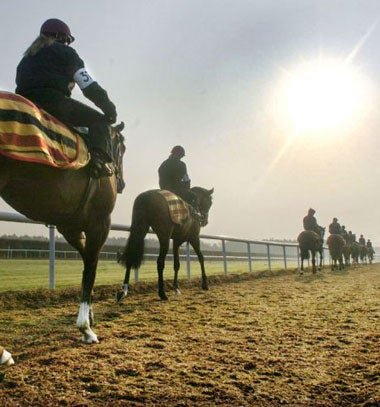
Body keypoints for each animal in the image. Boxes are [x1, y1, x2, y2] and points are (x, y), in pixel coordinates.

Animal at [0, 120, 127, 350]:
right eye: (122, 149)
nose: (121, 183)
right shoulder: (100, 223)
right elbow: (90, 270)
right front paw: (86, 328)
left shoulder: (70, 227)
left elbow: (87, 262)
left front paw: (91, 314)